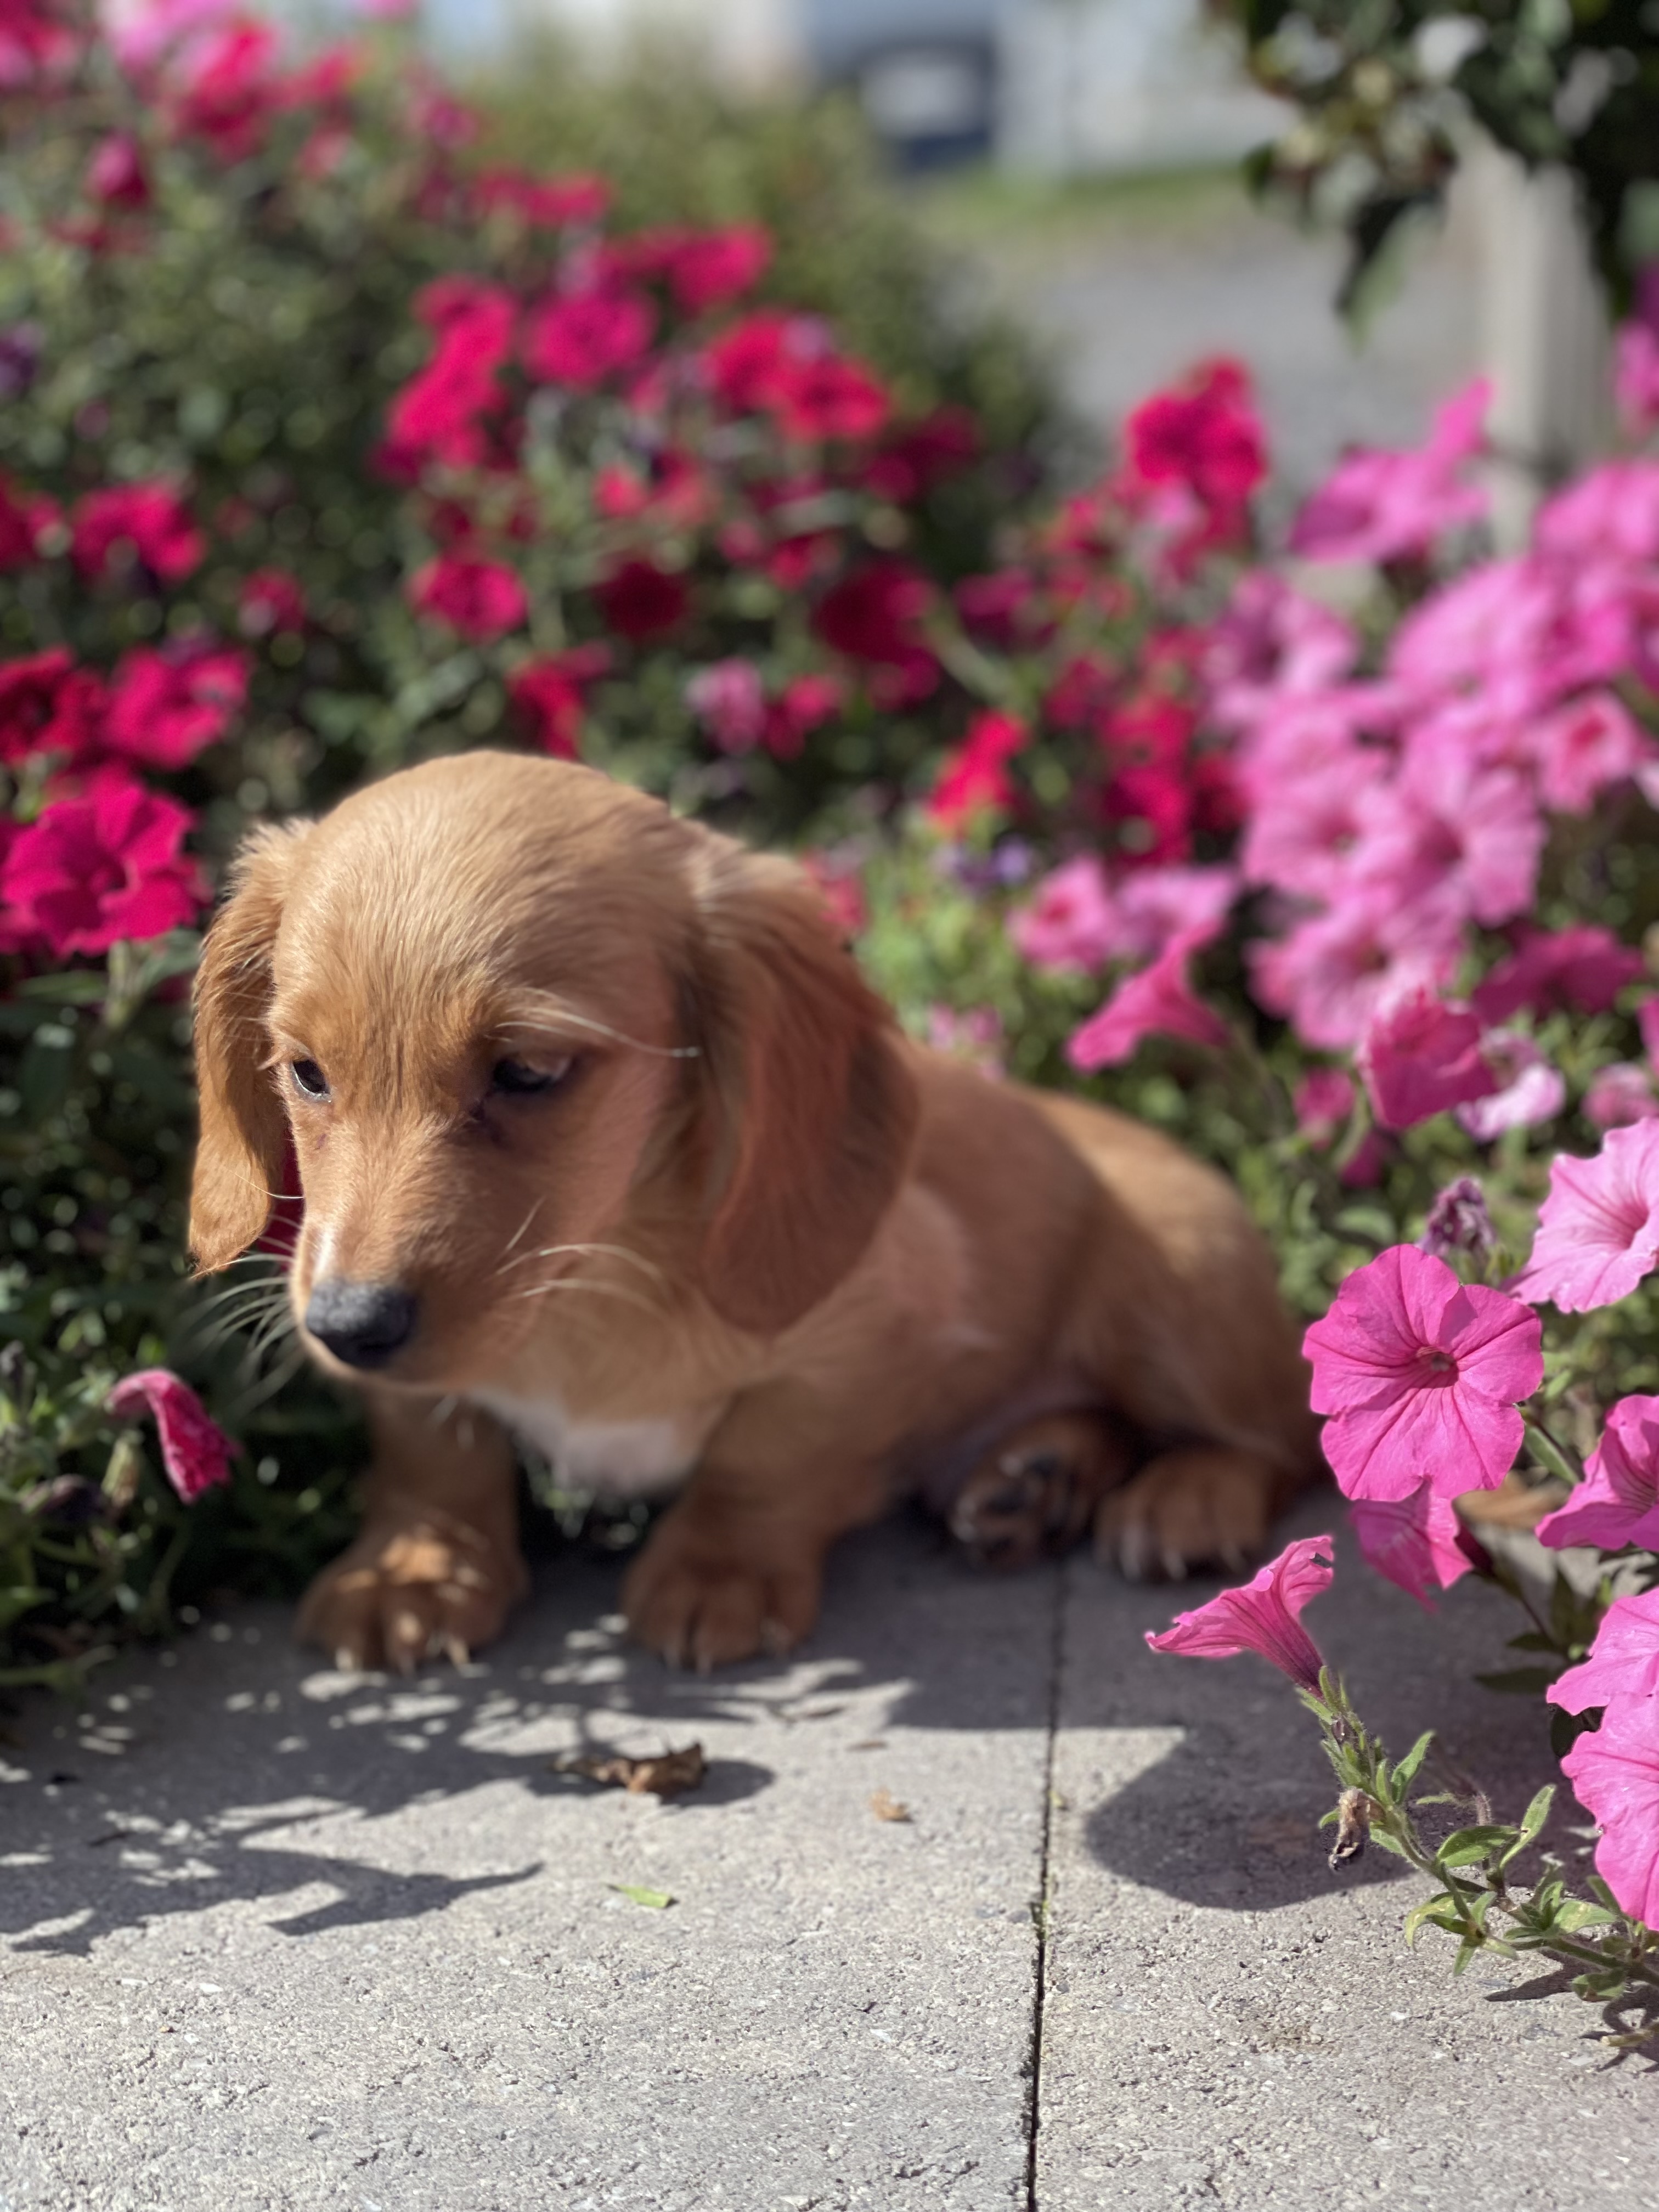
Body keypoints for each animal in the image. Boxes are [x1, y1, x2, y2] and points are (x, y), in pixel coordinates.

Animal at [188, 752, 1318, 1663]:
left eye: (528, 1071)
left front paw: (716, 1570)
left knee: (1275, 1443)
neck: (594, 1282)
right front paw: (416, 1567)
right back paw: (1032, 1478)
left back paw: (1181, 1497)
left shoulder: (883, 1330)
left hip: (1180, 1274)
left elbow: (766, 1454)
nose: (347, 1327)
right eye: (306, 1073)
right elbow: (431, 1443)